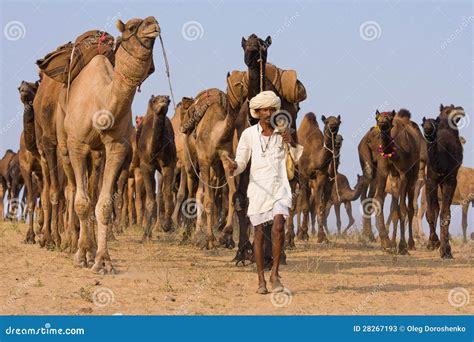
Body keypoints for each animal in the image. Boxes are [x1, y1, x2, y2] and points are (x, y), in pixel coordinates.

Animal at [55, 17, 159, 272]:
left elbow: (103, 204)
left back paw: (91, 248)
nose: (153, 23)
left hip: (97, 154)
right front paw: (82, 255)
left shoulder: (116, 147)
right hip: (64, 141)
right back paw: (74, 245)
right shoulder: (78, 144)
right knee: (72, 189)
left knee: (92, 190)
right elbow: (82, 202)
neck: (102, 104)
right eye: (132, 27)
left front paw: (102, 260)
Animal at [137, 93, 176, 238]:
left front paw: (167, 226)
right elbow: (149, 201)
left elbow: (168, 198)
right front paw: (145, 234)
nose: (162, 101)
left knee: (160, 192)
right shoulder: (146, 166)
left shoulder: (169, 165)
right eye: (155, 100)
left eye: (168, 100)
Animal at [290, 111, 342, 244]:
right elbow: (305, 206)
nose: (333, 126)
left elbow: (320, 206)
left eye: (339, 122)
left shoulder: (321, 176)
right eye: (326, 121)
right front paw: (303, 236)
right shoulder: (303, 175)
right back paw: (295, 234)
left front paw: (322, 237)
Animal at [358, 109, 420, 254]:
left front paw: (402, 246)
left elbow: (402, 209)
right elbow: (380, 201)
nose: (382, 123)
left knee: (409, 208)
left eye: (390, 118)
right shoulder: (384, 170)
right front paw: (389, 244)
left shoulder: (404, 174)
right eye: (377, 117)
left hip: (412, 174)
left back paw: (409, 243)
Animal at [420, 103, 464, 258]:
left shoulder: (450, 180)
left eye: (434, 123)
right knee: (435, 208)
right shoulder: (430, 180)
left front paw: (446, 250)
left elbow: (446, 214)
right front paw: (433, 242)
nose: (428, 129)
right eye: (423, 124)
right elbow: (431, 212)